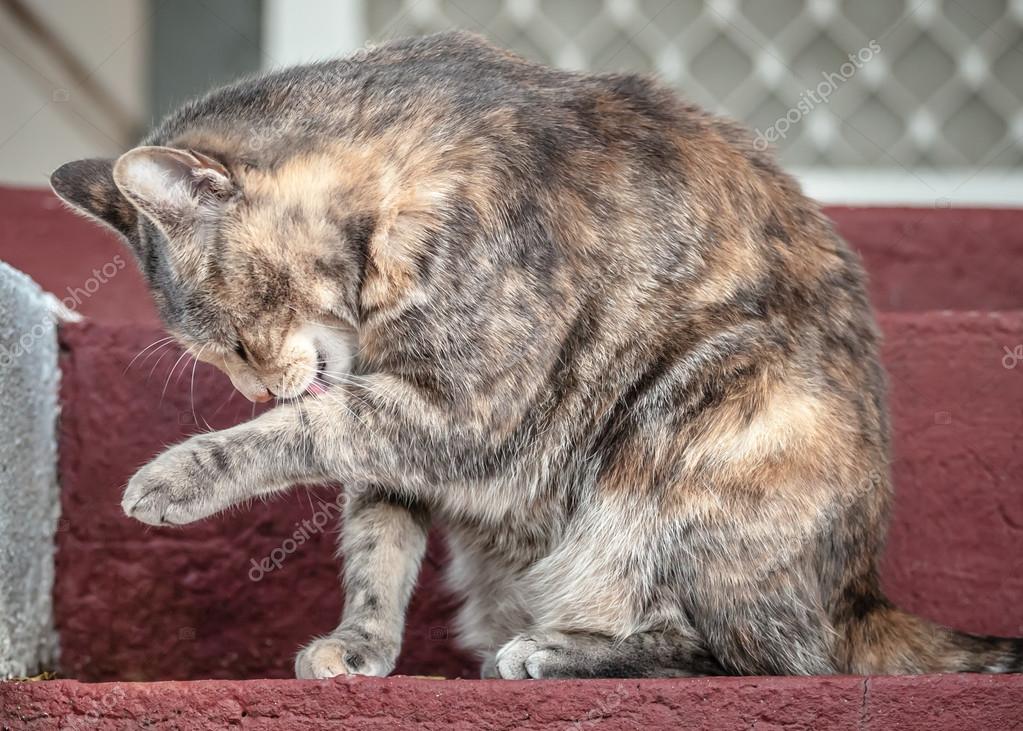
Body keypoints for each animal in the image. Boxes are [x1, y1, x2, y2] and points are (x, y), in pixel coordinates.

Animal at [49, 31, 1023, 678]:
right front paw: (360, 646)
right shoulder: (400, 429)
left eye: (238, 341)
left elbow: (306, 433)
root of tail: (859, 595)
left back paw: (557, 649)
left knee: (757, 654)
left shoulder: (457, 408)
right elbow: (376, 544)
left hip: (695, 413)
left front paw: (174, 476)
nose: (253, 390)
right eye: (220, 358)